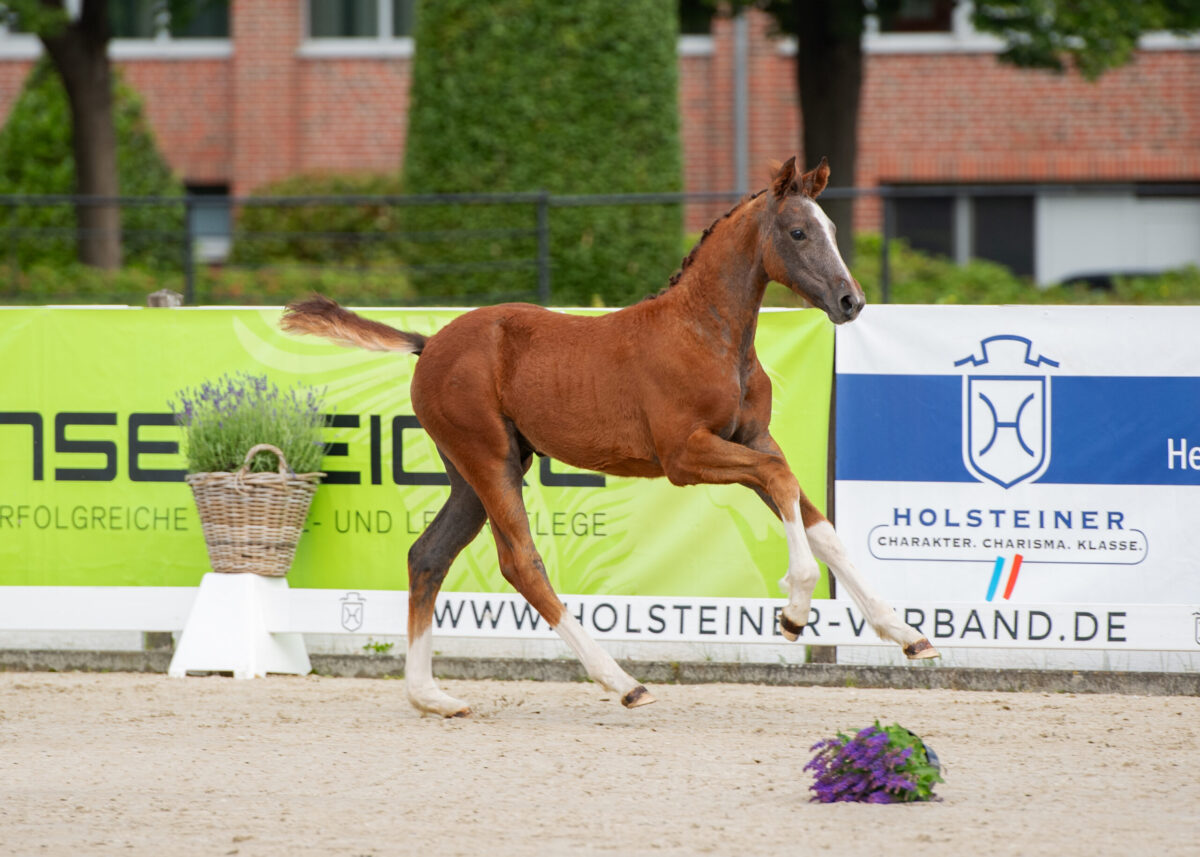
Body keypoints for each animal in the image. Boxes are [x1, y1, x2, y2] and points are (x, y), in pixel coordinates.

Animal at [281, 156, 938, 717]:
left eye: (830, 227)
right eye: (799, 232)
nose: (851, 301)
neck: (708, 335)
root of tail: (430, 343)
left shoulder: (753, 439)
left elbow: (816, 519)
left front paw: (907, 634)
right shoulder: (686, 455)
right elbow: (783, 487)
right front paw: (795, 612)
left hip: (474, 471)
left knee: (428, 555)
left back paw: (431, 697)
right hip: (489, 459)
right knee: (521, 562)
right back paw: (622, 682)